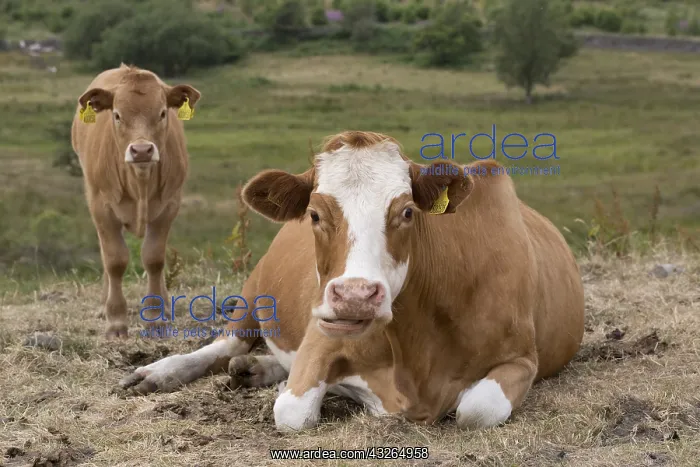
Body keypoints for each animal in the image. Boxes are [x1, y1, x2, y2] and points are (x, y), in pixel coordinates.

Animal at [71, 63, 201, 339]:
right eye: (117, 115)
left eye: (162, 113)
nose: (141, 150)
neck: (140, 181)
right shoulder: (101, 208)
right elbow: (114, 260)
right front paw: (116, 321)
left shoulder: (169, 206)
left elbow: (154, 259)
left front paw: (155, 317)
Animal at [119, 131, 584, 432]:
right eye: (314, 214)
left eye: (407, 211)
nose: (356, 296)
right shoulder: (321, 334)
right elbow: (293, 411)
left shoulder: (522, 358)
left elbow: (477, 409)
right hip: (255, 290)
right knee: (226, 345)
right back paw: (157, 374)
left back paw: (257, 368)